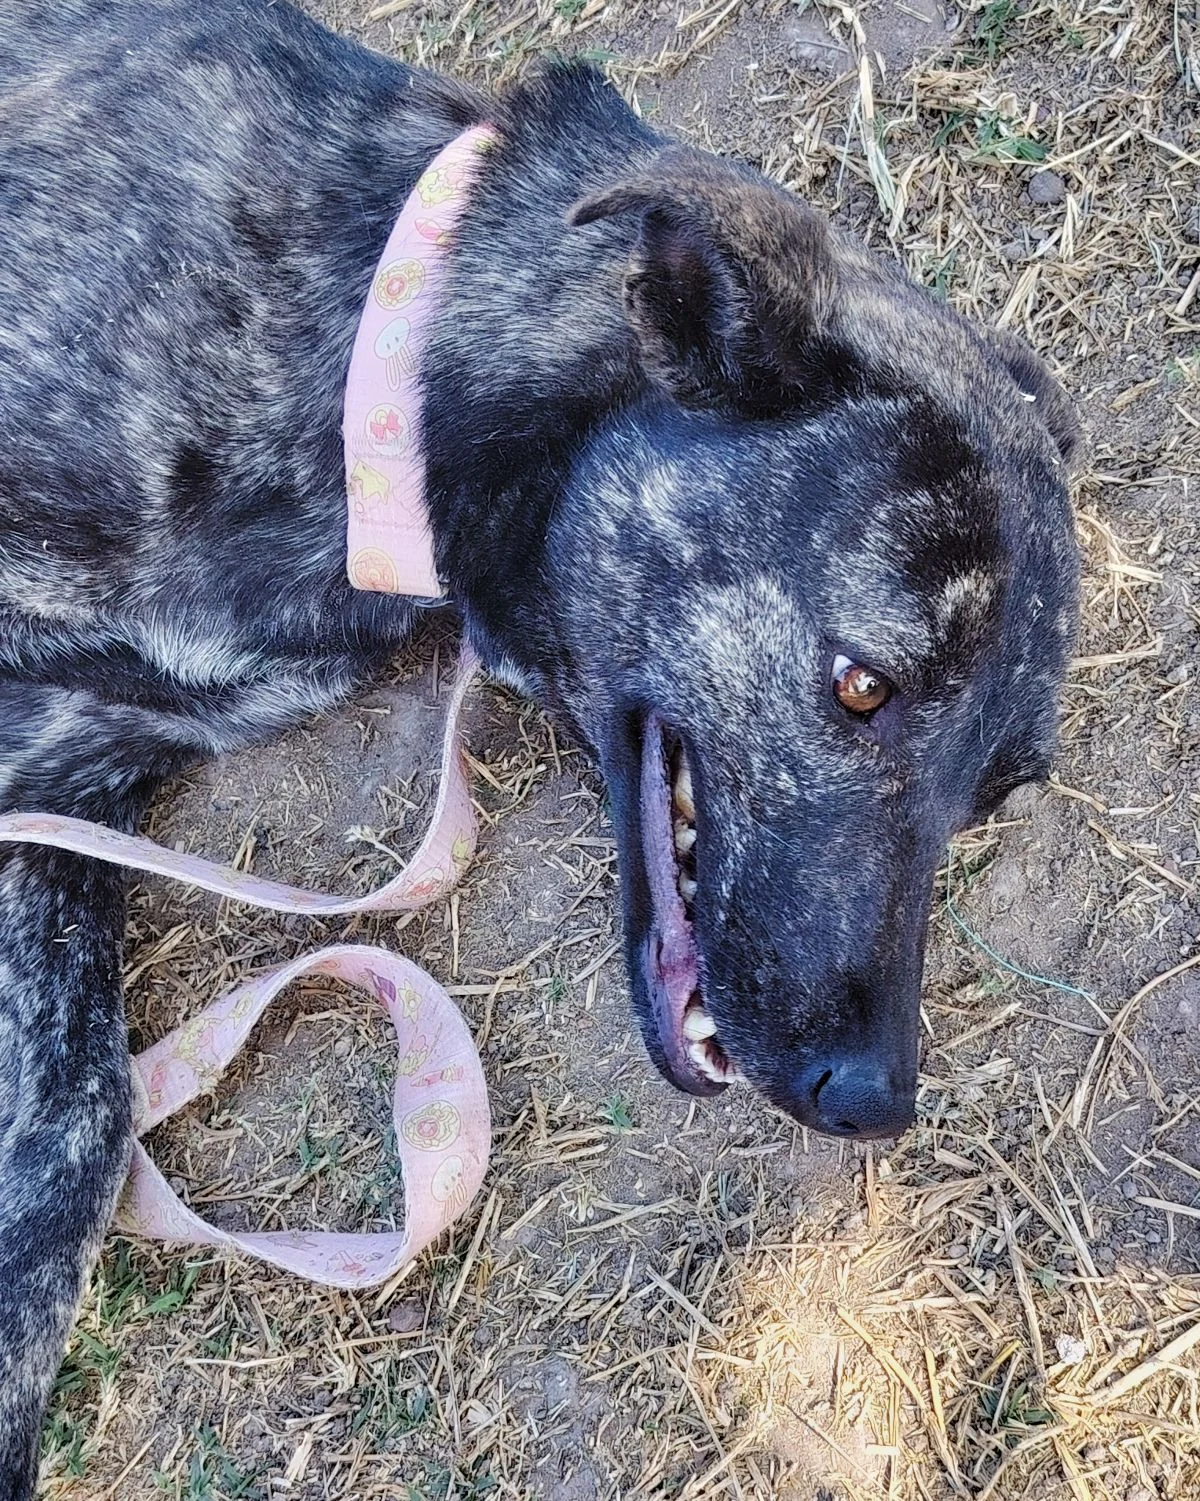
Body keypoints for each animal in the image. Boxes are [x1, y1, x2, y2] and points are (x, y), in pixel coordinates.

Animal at [0, 0, 1081, 1488]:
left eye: (988, 800)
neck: (373, 352)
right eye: (862, 684)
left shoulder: (57, 774)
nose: (874, 1099)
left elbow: (77, 1122)